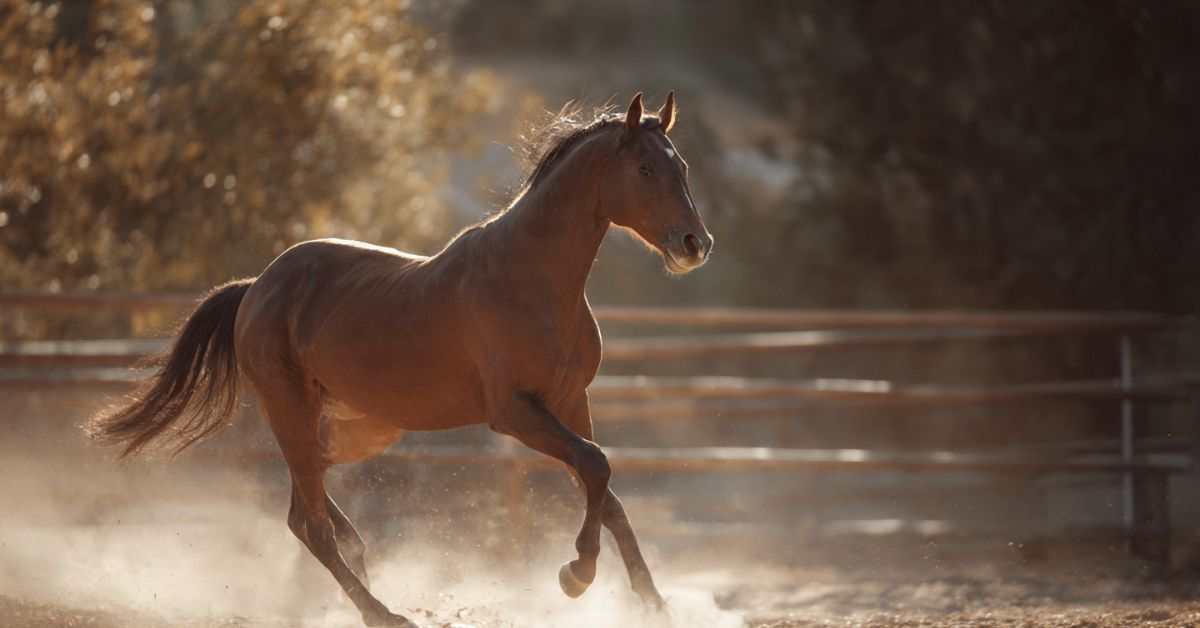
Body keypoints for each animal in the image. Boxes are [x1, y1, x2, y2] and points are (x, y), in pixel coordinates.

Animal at [88, 91, 713, 628]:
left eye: (681, 167)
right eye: (645, 170)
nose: (695, 245)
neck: (529, 279)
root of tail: (255, 287)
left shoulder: (568, 402)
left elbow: (604, 488)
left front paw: (654, 603)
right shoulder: (514, 413)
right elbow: (595, 466)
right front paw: (576, 575)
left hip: (356, 427)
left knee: (307, 502)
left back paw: (360, 565)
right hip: (289, 408)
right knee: (310, 524)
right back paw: (382, 612)